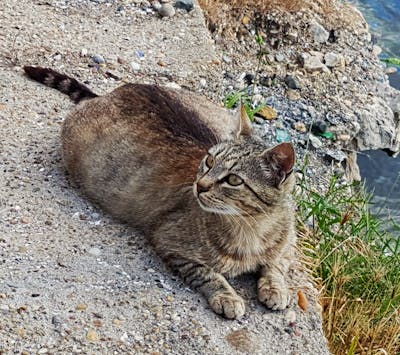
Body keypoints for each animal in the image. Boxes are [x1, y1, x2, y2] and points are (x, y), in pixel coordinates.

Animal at [22, 66, 296, 320]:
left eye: (233, 180)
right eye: (209, 161)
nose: (200, 185)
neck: (252, 230)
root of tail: (108, 94)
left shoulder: (289, 242)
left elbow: (276, 265)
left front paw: (275, 289)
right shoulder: (170, 243)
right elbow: (208, 274)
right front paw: (227, 297)